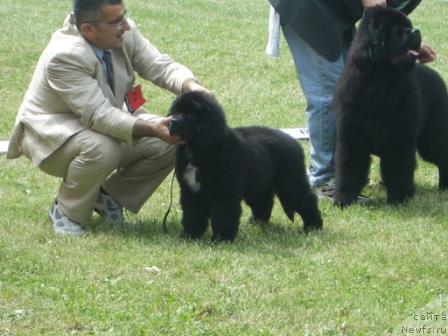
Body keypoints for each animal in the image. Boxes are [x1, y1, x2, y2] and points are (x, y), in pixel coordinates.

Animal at [168, 91, 322, 242]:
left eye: (191, 113)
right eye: (176, 111)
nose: (172, 121)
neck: (200, 147)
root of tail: (294, 141)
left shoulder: (224, 192)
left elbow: (223, 215)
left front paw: (222, 239)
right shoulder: (190, 191)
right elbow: (193, 214)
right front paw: (189, 236)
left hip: (290, 182)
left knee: (306, 200)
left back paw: (313, 227)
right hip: (260, 183)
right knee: (264, 202)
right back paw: (256, 223)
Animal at [334, 7, 448, 207]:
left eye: (408, 26)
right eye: (397, 30)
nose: (416, 31)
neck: (382, 80)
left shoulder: (399, 139)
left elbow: (398, 169)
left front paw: (400, 199)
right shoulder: (351, 138)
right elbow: (349, 168)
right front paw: (344, 199)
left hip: (433, 137)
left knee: (443, 157)